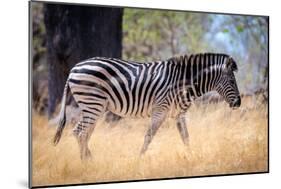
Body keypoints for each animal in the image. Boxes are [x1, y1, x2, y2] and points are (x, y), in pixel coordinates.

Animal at [53, 52, 241, 159]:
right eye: (232, 81)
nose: (239, 103)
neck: (183, 84)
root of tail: (74, 68)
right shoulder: (160, 110)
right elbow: (148, 137)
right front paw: (139, 160)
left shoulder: (179, 114)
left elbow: (186, 137)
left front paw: (193, 157)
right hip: (93, 103)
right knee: (79, 132)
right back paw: (87, 162)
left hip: (94, 107)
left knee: (84, 134)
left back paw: (90, 161)